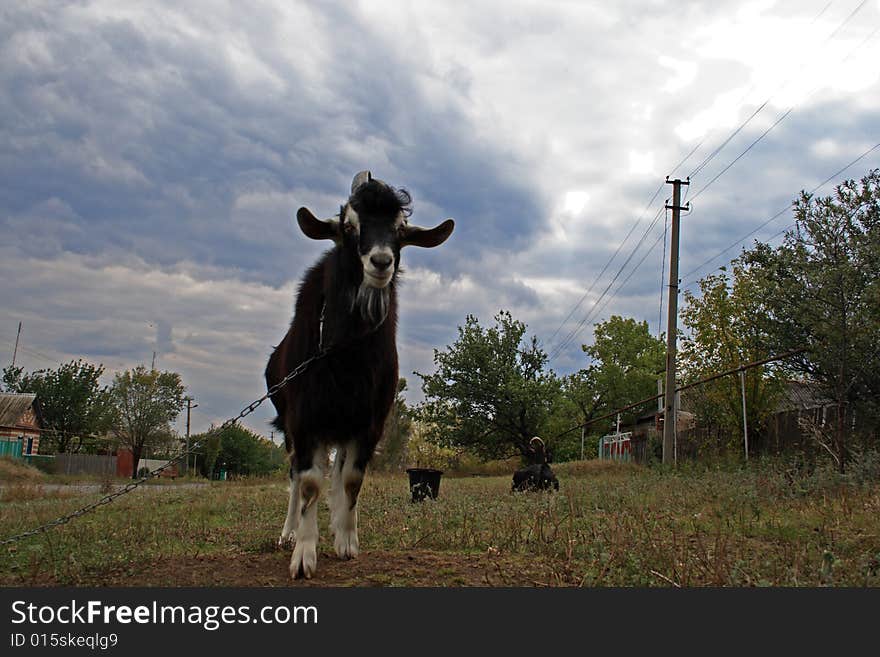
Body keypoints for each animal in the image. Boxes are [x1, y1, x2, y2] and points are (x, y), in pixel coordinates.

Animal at [266, 170, 458, 580]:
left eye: (400, 230)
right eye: (348, 226)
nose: (381, 261)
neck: (347, 354)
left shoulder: (369, 422)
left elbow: (351, 480)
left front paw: (347, 542)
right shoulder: (305, 419)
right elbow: (309, 483)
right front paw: (304, 555)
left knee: (338, 473)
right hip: (293, 426)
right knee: (295, 477)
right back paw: (288, 533)